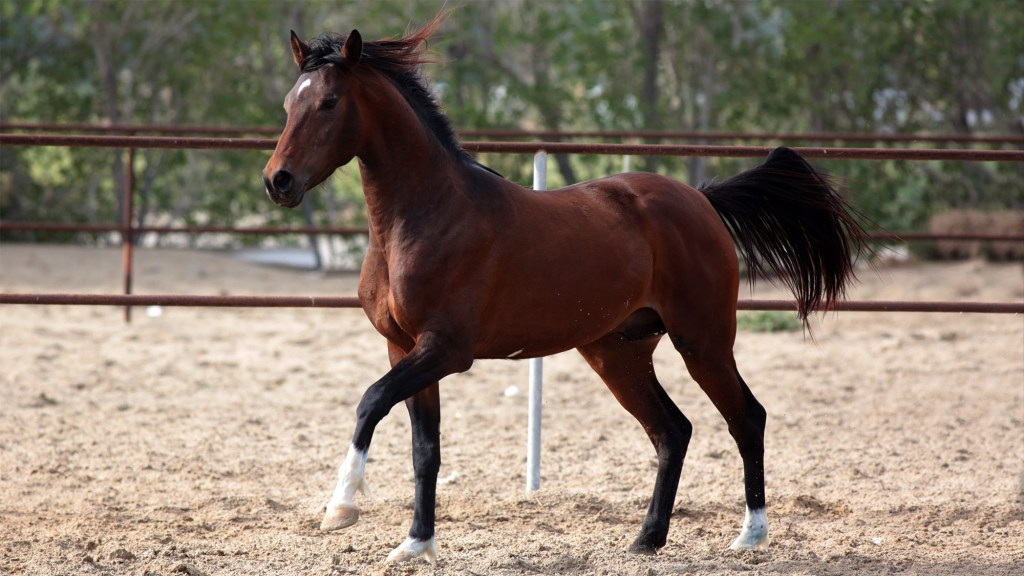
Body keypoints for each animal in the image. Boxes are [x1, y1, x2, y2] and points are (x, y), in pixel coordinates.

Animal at [262, 14, 869, 565]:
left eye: (330, 102)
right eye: (289, 103)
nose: (278, 181)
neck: (425, 217)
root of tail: (701, 198)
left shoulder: (446, 350)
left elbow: (370, 402)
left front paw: (340, 509)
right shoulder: (403, 348)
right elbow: (424, 449)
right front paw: (416, 545)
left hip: (704, 342)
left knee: (746, 417)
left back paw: (750, 535)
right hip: (617, 352)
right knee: (672, 430)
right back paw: (647, 540)